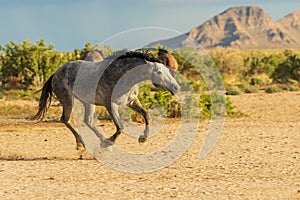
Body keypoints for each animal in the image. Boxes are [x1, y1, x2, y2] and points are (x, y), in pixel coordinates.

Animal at [34, 51, 179, 150]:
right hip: (68, 101)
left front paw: (143, 139)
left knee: (87, 121)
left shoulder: (132, 102)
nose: (176, 87)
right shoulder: (111, 105)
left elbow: (147, 115)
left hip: (88, 103)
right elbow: (120, 127)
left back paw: (92, 142)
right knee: (66, 119)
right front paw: (110, 142)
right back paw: (84, 144)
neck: (120, 75)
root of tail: (56, 73)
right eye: (159, 72)